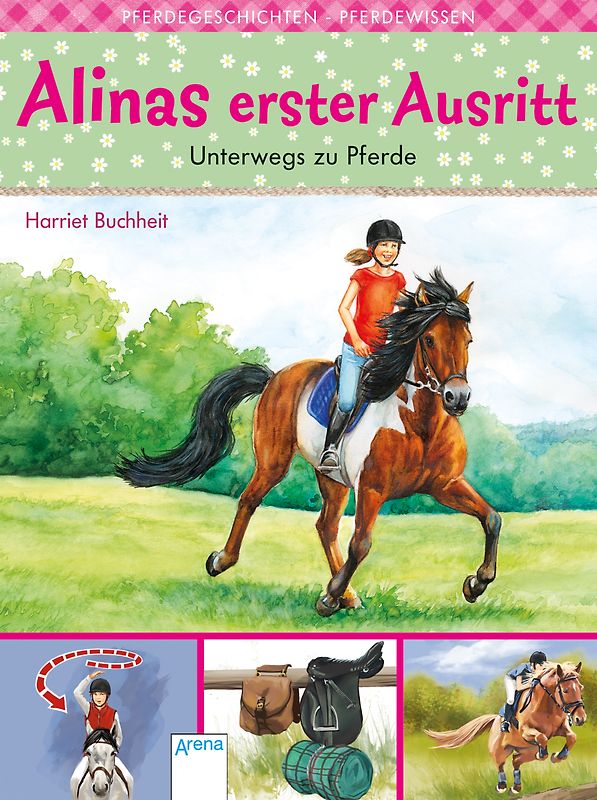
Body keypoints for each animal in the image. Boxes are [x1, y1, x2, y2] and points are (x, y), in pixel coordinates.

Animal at [117, 268, 502, 617]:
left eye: (468, 340)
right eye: (430, 339)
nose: (457, 398)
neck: (419, 424)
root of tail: (275, 376)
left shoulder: (445, 484)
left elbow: (492, 518)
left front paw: (476, 584)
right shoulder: (372, 488)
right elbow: (361, 544)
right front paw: (328, 598)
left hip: (331, 478)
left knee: (325, 526)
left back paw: (348, 597)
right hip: (274, 461)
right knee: (250, 500)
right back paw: (222, 561)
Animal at [425, 663, 586, 795]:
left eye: (580, 688)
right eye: (565, 690)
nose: (581, 718)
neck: (547, 706)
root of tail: (494, 720)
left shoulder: (560, 728)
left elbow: (572, 737)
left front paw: (558, 756)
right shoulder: (526, 730)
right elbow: (542, 737)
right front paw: (545, 754)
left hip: (527, 750)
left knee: (516, 760)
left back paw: (516, 787)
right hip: (499, 750)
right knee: (500, 764)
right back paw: (502, 786)